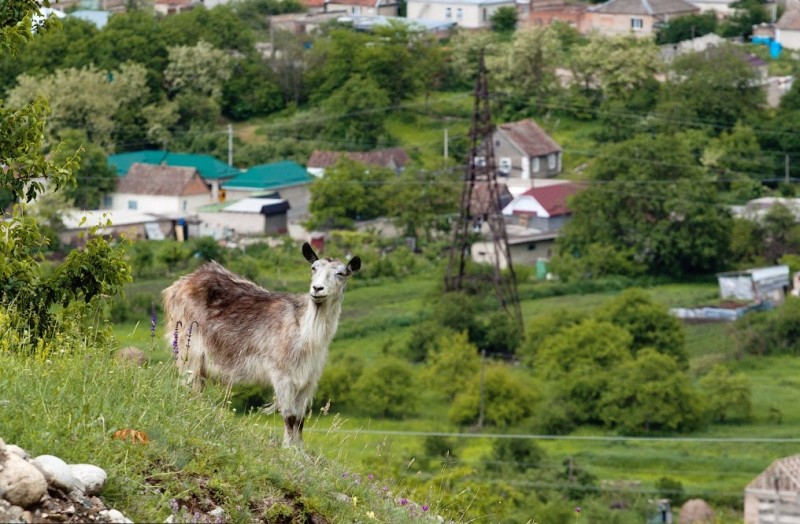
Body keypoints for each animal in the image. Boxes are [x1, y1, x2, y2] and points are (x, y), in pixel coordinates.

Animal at [162, 244, 362, 448]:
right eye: (313, 268)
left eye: (341, 273)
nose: (317, 288)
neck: (303, 330)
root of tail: (178, 285)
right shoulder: (282, 376)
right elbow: (290, 417)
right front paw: (288, 449)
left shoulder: (308, 380)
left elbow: (300, 420)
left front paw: (299, 450)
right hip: (188, 350)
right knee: (189, 387)